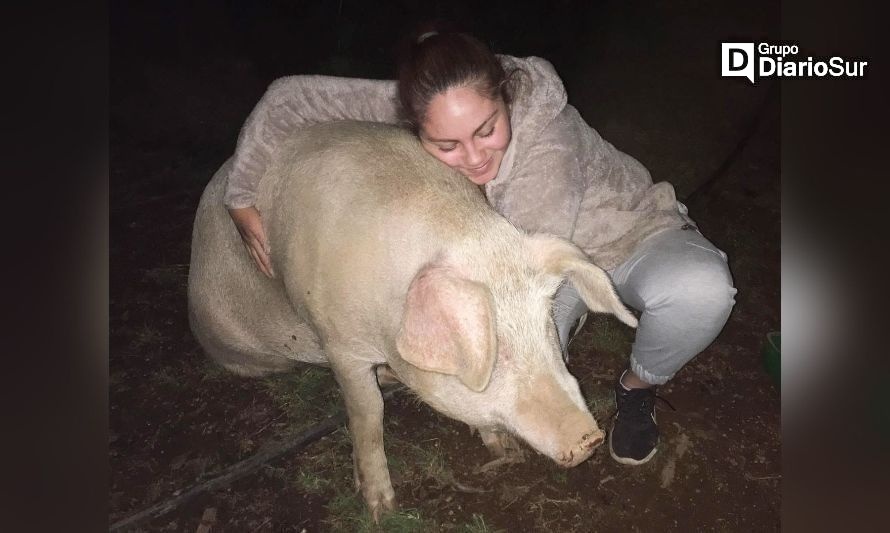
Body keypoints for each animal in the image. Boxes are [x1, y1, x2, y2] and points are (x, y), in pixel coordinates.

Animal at [187, 121, 636, 520]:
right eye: (497, 352)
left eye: (545, 324)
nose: (589, 436)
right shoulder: (340, 344)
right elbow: (368, 414)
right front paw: (381, 509)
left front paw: (504, 451)